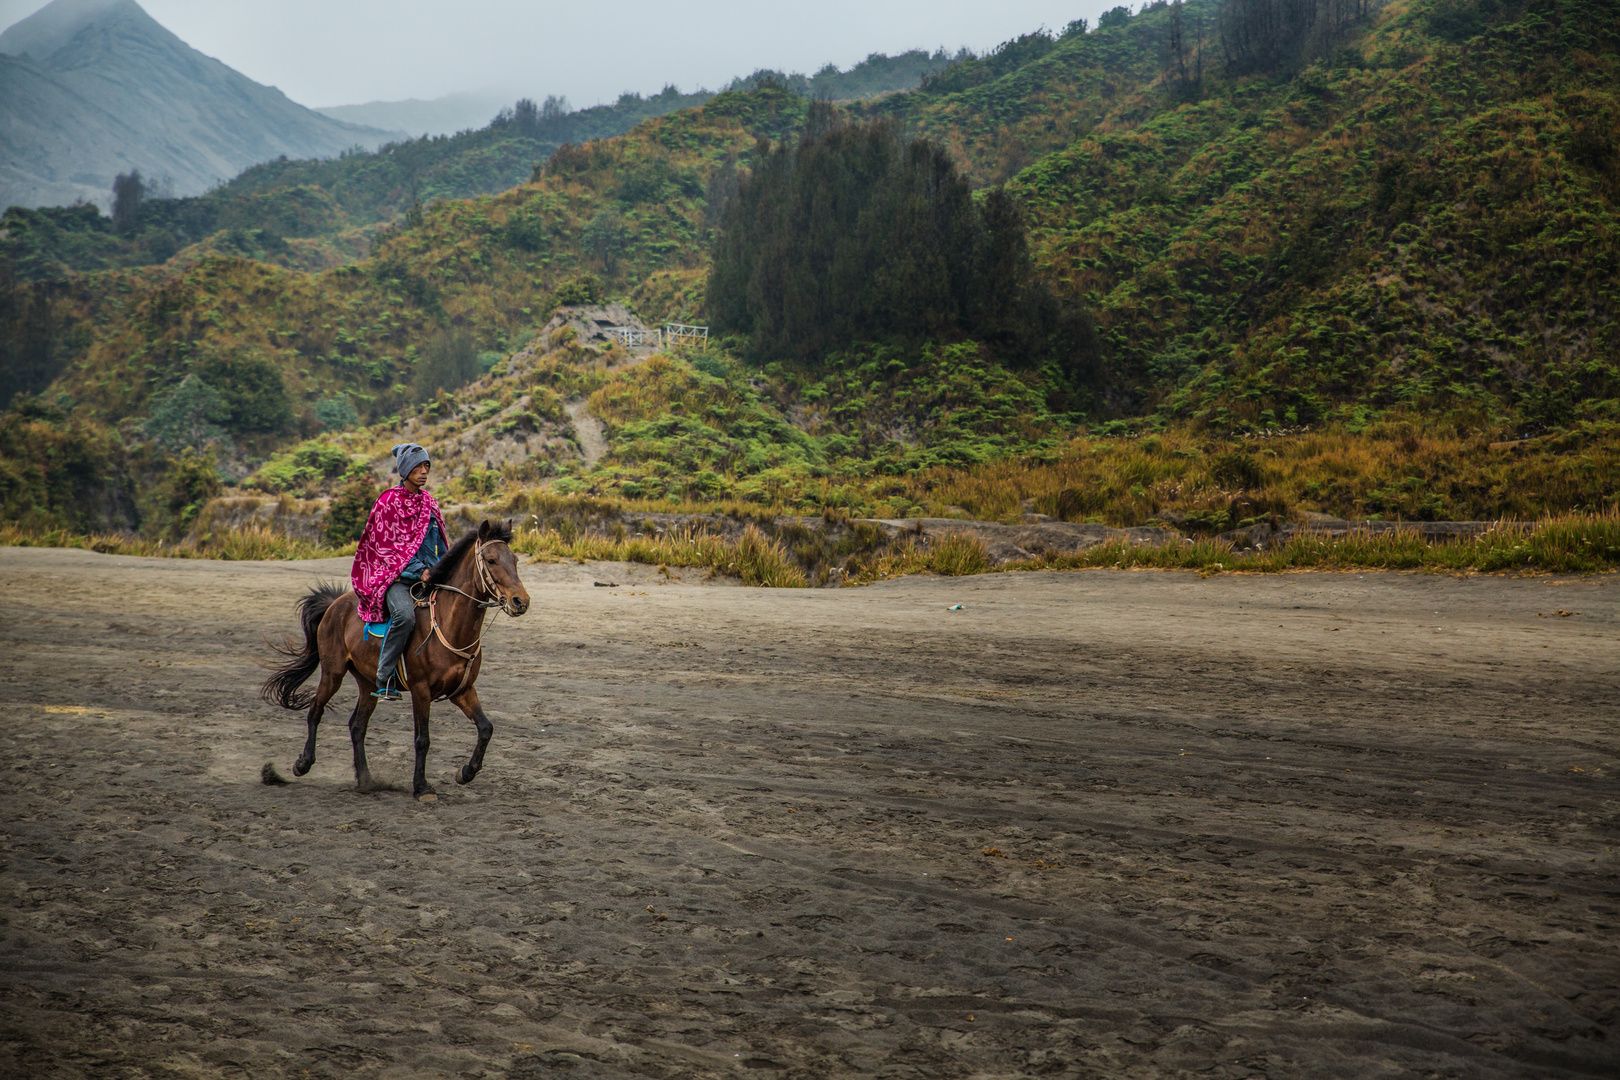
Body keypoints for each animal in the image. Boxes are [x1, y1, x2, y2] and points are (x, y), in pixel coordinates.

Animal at [260, 518, 531, 799]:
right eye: (491, 560)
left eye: (514, 559)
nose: (520, 601)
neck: (449, 625)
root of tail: (335, 604)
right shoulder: (421, 691)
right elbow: (422, 740)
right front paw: (421, 787)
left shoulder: (463, 690)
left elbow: (486, 728)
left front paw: (466, 772)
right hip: (333, 672)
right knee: (315, 710)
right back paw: (303, 763)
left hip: (368, 683)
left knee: (357, 726)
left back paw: (366, 780)